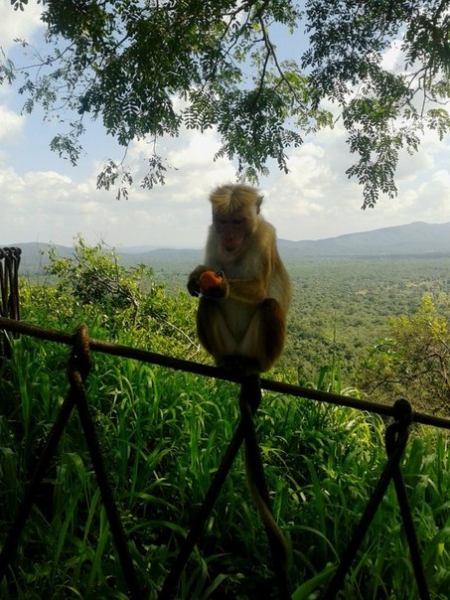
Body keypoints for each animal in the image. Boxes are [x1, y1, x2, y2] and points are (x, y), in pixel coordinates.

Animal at [187, 182, 292, 376]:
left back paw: (256, 365)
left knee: (270, 306)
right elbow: (209, 270)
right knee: (208, 301)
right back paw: (225, 359)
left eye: (237, 222)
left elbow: (259, 290)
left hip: (253, 349)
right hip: (230, 346)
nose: (228, 237)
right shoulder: (214, 235)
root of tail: (239, 353)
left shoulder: (265, 237)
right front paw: (196, 275)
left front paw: (224, 287)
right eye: (223, 221)